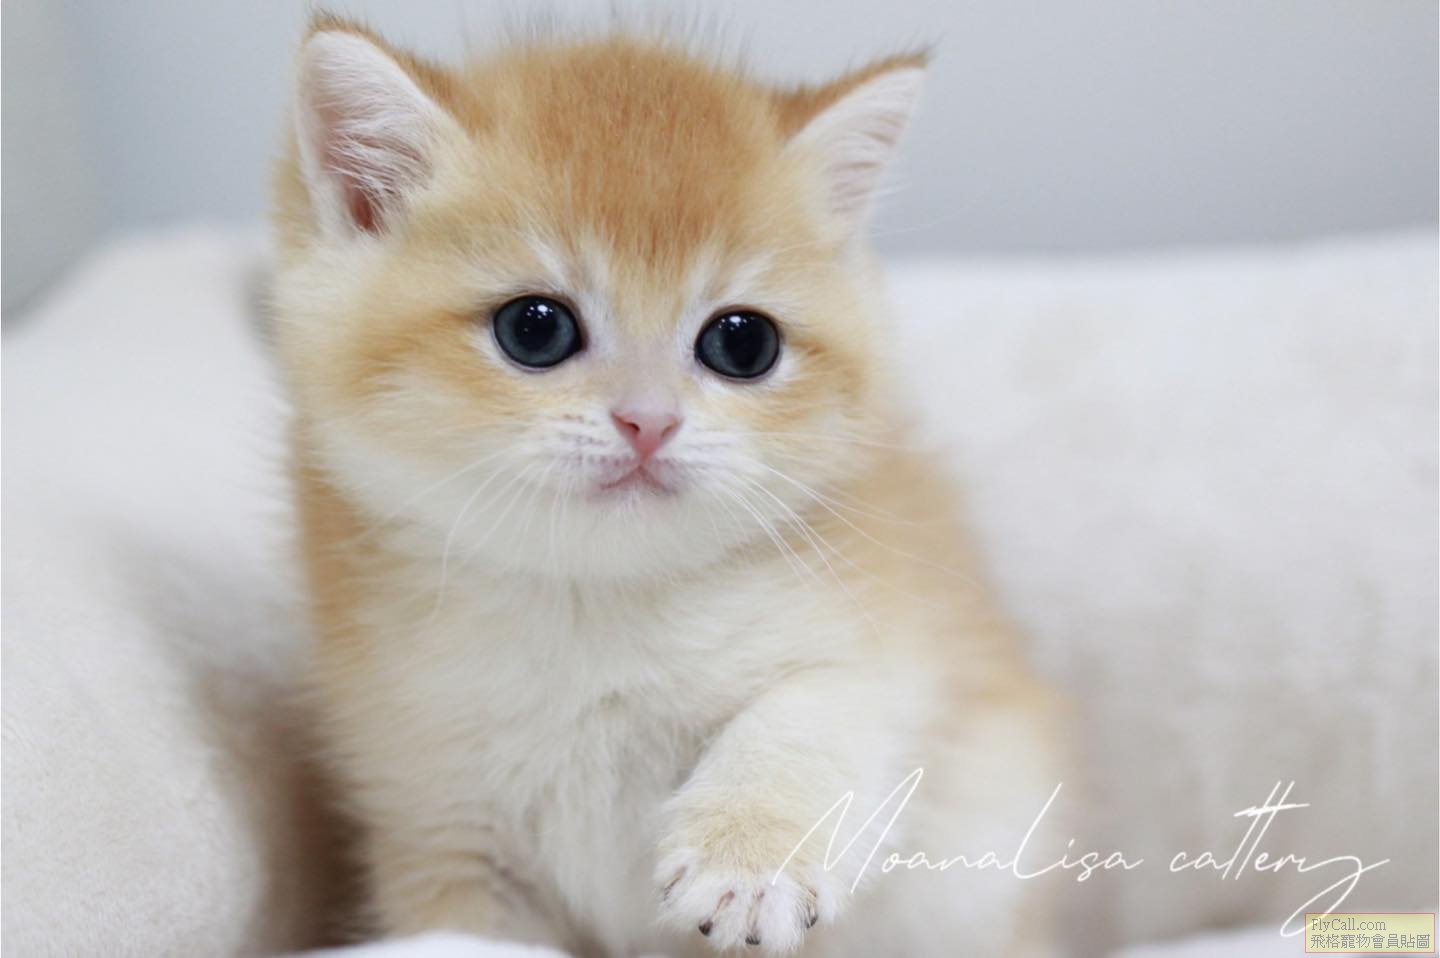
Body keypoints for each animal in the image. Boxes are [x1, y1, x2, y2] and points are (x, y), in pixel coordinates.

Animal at [271, 15, 1064, 958]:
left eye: (742, 343)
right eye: (533, 329)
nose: (648, 422)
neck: (593, 602)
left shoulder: (885, 632)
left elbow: (818, 709)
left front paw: (749, 853)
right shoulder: (443, 826)